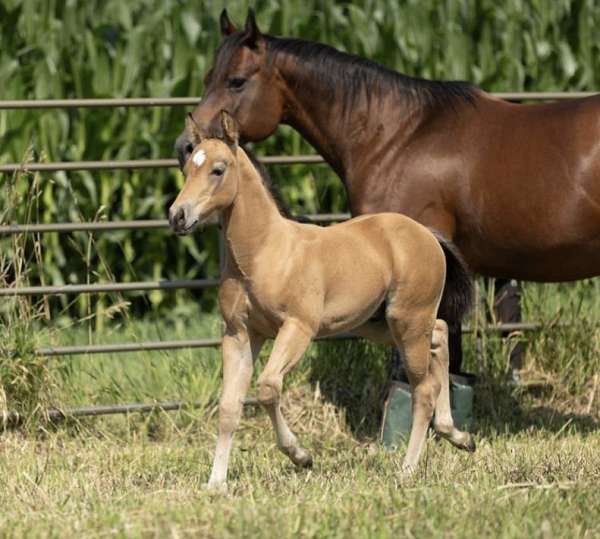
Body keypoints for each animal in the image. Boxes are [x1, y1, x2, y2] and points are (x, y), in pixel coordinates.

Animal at [168, 112, 474, 492]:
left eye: (218, 169)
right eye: (187, 169)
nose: (177, 216)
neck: (265, 252)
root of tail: (427, 235)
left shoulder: (298, 328)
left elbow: (267, 388)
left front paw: (301, 455)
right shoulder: (239, 334)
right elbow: (228, 407)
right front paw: (216, 483)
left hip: (408, 321)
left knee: (424, 389)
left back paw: (407, 469)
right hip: (383, 325)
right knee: (441, 333)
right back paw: (458, 436)